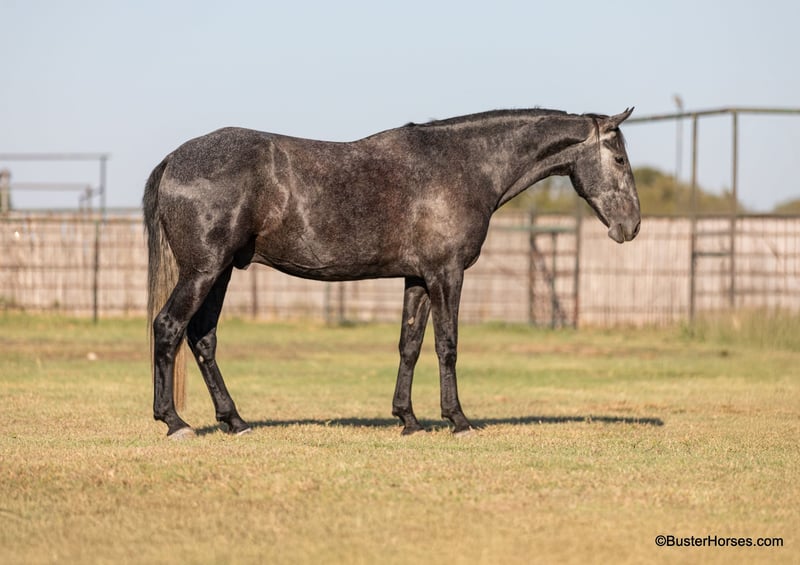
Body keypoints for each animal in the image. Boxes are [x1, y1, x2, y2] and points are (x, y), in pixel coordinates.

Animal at [144, 107, 640, 438]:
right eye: (619, 159)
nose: (631, 226)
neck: (462, 165)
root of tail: (175, 159)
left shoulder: (418, 279)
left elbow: (410, 346)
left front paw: (408, 419)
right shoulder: (446, 274)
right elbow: (447, 346)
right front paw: (457, 420)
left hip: (221, 272)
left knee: (202, 339)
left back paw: (235, 420)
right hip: (203, 270)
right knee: (168, 327)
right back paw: (175, 422)